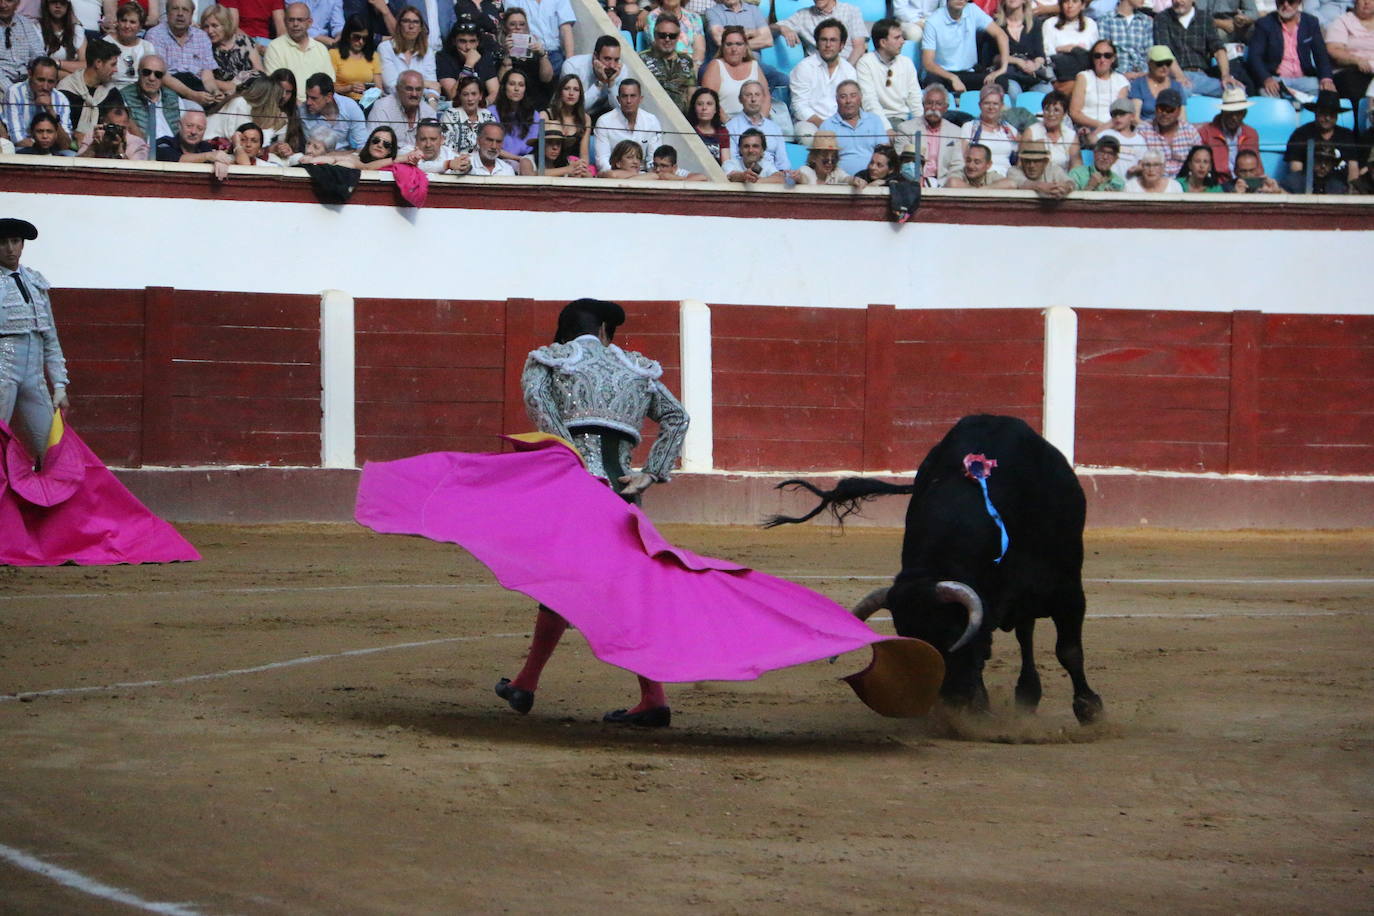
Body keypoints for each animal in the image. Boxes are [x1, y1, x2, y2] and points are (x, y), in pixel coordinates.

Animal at [769, 414, 1099, 725]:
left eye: (951, 632)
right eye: (907, 634)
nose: (955, 700)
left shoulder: (1069, 590)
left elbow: (1069, 650)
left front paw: (1091, 710)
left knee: (1029, 634)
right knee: (1025, 632)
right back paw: (1026, 695)